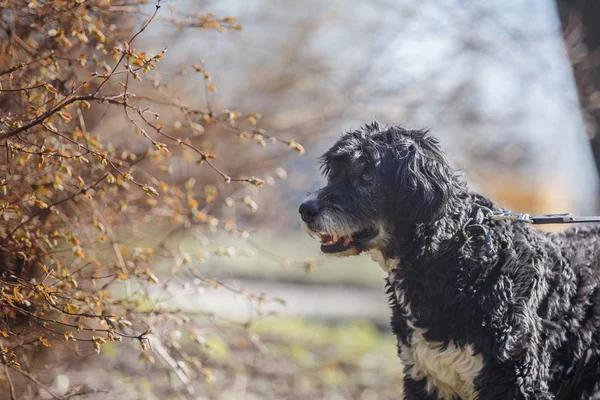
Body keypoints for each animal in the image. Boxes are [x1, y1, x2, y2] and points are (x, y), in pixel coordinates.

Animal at [302, 122, 600, 400]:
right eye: (334, 174)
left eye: (365, 174)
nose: (305, 209)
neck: (451, 257)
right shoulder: (425, 377)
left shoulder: (518, 382)